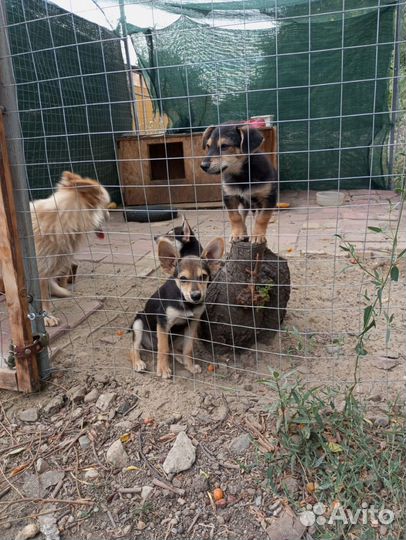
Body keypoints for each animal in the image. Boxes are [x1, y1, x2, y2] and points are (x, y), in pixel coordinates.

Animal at [30, 171, 110, 326]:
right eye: (105, 205)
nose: (109, 215)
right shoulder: (39, 269)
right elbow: (43, 298)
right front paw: (46, 317)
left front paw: (59, 291)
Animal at [130, 236, 224, 380]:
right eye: (183, 278)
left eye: (203, 277)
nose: (196, 296)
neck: (186, 303)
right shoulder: (163, 323)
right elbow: (163, 348)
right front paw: (163, 369)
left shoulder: (192, 323)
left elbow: (188, 348)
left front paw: (190, 365)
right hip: (138, 322)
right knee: (134, 348)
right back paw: (138, 363)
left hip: (179, 333)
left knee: (172, 348)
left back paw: (181, 359)